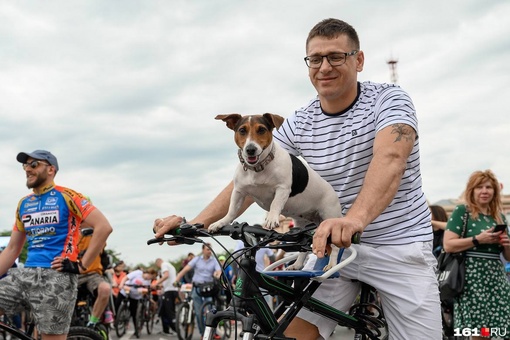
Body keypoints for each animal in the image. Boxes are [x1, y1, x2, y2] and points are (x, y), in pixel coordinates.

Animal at [207, 113, 342, 270]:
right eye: (242, 130)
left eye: (261, 130)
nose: (250, 149)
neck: (258, 168)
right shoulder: (239, 191)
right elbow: (231, 211)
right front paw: (220, 222)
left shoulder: (282, 189)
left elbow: (275, 204)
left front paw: (271, 219)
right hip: (301, 225)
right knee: (303, 249)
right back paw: (297, 264)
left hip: (329, 219)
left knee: (335, 247)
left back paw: (332, 264)